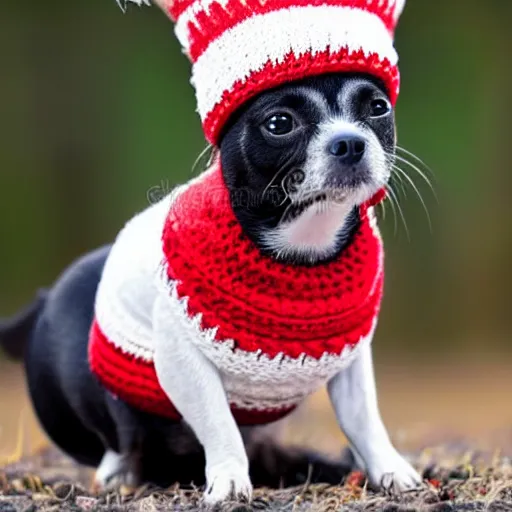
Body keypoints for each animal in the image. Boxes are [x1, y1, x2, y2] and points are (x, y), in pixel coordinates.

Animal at [0, 72, 422, 504]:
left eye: (378, 107)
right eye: (279, 123)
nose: (349, 141)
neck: (301, 248)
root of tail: (44, 300)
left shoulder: (351, 359)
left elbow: (362, 417)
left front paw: (390, 469)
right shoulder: (183, 363)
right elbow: (219, 422)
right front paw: (231, 479)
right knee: (120, 438)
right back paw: (121, 471)